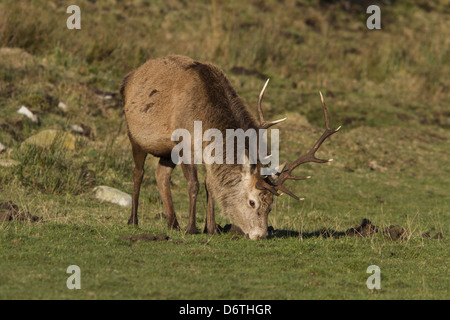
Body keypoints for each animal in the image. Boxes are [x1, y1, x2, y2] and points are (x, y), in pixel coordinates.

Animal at [121, 55, 340, 240]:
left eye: (271, 205)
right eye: (252, 202)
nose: (260, 235)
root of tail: (129, 77)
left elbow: (211, 186)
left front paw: (211, 228)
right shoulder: (184, 145)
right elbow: (194, 184)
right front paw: (192, 228)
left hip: (167, 151)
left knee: (161, 173)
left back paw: (173, 223)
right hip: (134, 135)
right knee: (138, 172)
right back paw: (133, 220)